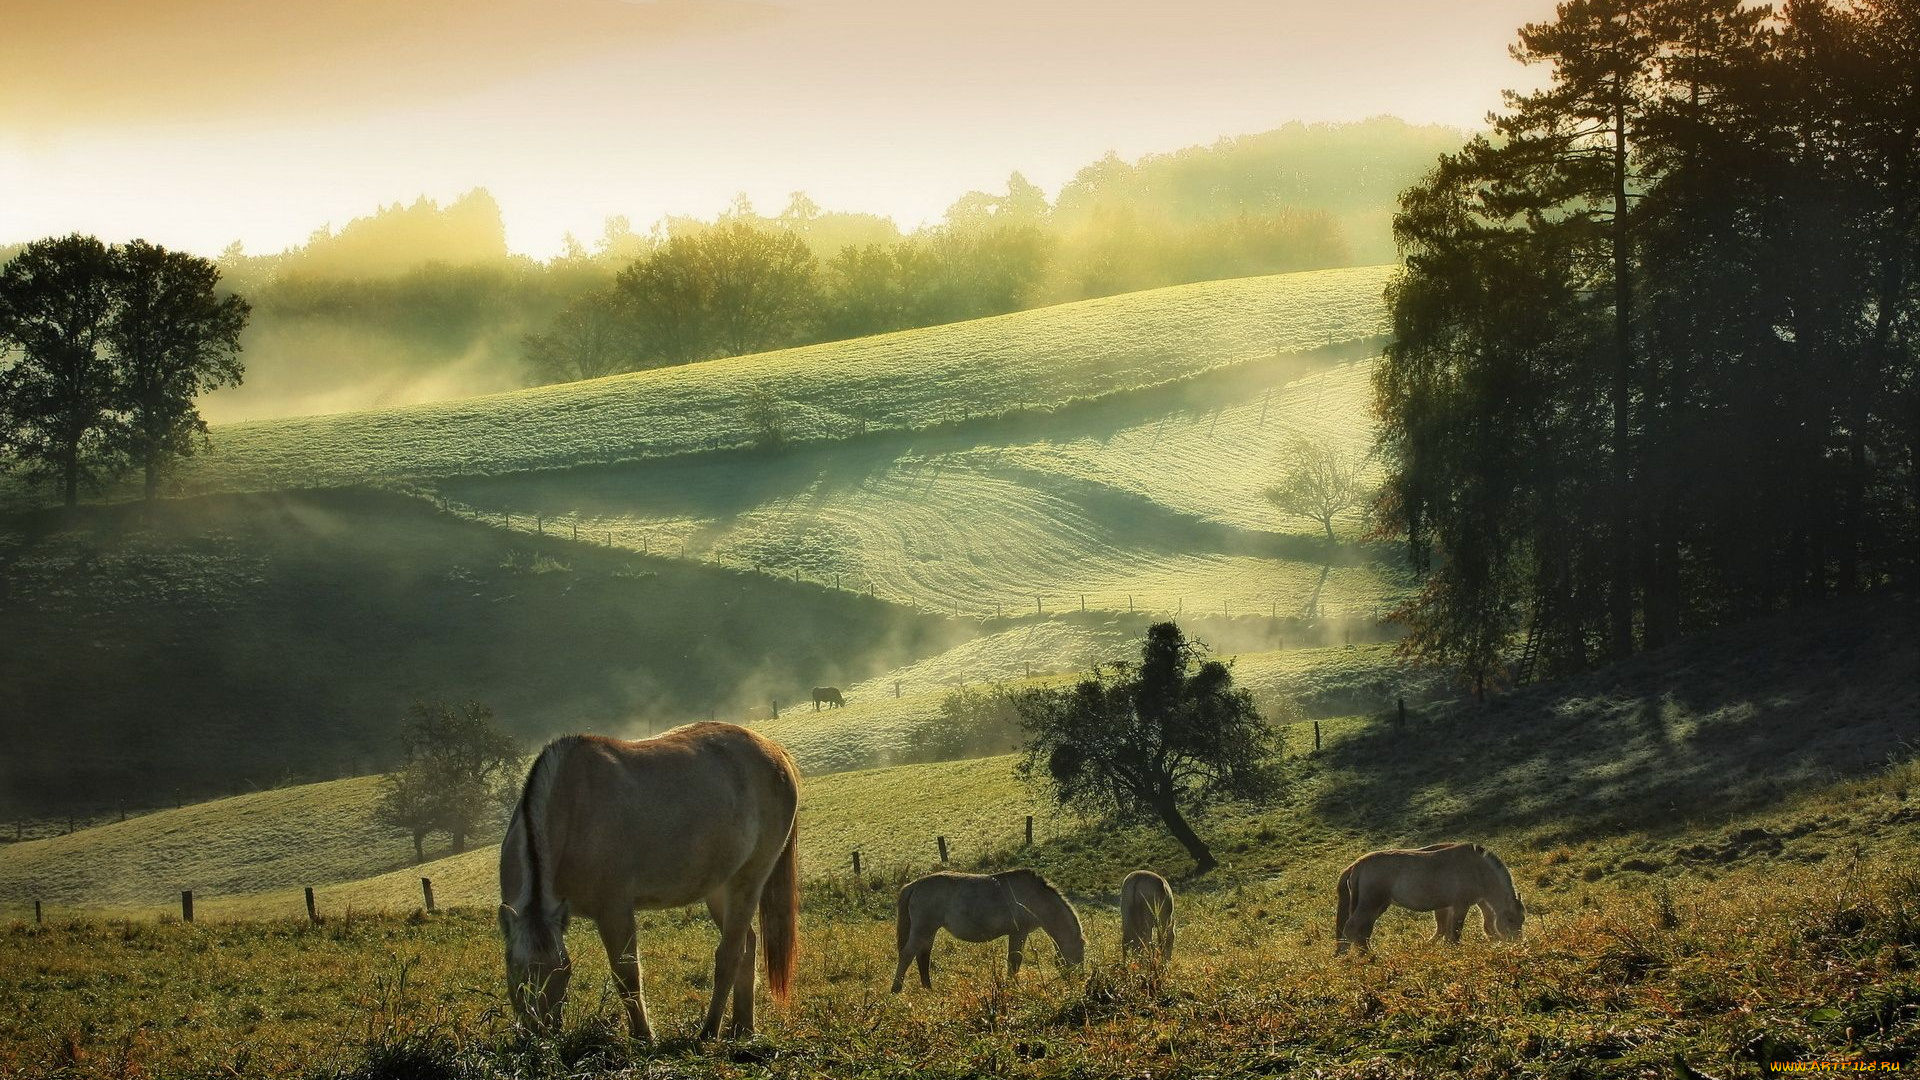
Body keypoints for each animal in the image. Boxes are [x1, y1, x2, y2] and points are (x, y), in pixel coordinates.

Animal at [499, 722, 798, 1037]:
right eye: (515, 968)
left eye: (563, 969)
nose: (541, 1031)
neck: (571, 809)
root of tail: (775, 751)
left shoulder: (614, 910)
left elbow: (627, 974)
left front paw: (643, 1035)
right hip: (720, 890)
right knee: (748, 945)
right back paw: (742, 1028)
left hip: (748, 879)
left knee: (730, 954)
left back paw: (709, 1030)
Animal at [887, 860, 1082, 991]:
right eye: (1080, 956)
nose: (1077, 983)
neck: (1034, 897)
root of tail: (914, 885)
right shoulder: (1018, 932)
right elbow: (1015, 960)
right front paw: (1013, 987)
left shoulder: (1019, 933)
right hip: (923, 929)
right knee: (907, 954)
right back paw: (896, 989)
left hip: (929, 931)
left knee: (922, 957)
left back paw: (928, 989)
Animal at [1336, 841, 1528, 949]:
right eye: (1510, 919)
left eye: (1522, 919)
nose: (1518, 942)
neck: (1478, 869)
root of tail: (1358, 864)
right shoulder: (1460, 905)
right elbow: (1455, 933)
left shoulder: (1450, 906)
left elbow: (1447, 932)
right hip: (1370, 904)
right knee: (1352, 929)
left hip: (1377, 906)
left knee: (1363, 931)